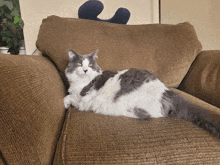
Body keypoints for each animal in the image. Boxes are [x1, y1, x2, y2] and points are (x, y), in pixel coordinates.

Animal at [62, 49, 219, 137]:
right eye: (78, 64)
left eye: (89, 64)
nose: (85, 70)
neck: (81, 82)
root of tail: (166, 91)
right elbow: (69, 95)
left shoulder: (84, 101)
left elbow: (68, 97)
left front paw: (66, 104)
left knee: (146, 115)